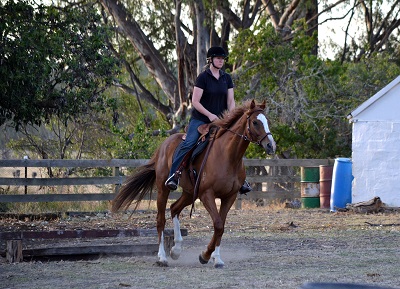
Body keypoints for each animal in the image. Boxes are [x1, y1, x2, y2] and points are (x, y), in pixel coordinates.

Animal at [111, 99, 276, 268]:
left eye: (267, 121)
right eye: (255, 122)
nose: (271, 146)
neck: (228, 156)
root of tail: (164, 145)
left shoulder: (229, 196)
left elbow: (221, 226)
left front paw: (216, 258)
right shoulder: (206, 194)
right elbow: (218, 224)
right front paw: (205, 255)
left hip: (190, 193)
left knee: (174, 208)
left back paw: (176, 249)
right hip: (164, 189)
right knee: (160, 220)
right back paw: (162, 257)